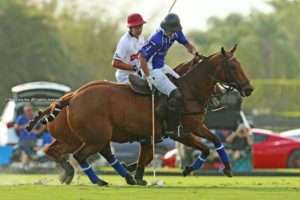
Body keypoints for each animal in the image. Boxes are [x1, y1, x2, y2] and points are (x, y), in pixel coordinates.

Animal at [28, 45, 253, 186]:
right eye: (232, 66)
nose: (248, 88)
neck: (189, 89)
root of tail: (72, 97)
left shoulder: (165, 134)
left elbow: (204, 147)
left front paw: (184, 170)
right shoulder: (185, 130)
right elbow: (213, 141)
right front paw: (226, 169)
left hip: (85, 137)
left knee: (59, 151)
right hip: (97, 135)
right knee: (81, 156)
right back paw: (99, 180)